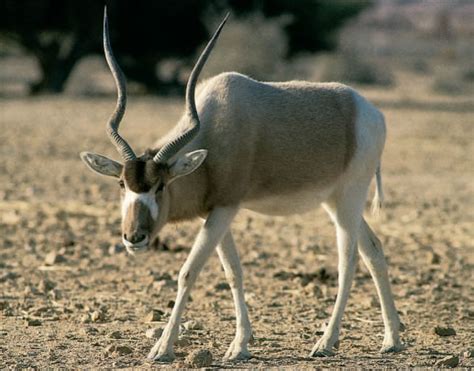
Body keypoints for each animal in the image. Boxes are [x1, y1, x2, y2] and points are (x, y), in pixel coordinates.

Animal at [80, 8, 404, 364]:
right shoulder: (216, 211)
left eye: (161, 186)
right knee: (373, 250)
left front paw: (162, 348)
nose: (134, 237)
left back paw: (326, 342)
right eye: (122, 183)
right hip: (334, 200)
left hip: (349, 197)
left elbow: (188, 271)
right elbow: (233, 272)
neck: (213, 127)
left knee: (349, 261)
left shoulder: (225, 209)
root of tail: (373, 113)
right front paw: (239, 346)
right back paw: (392, 340)